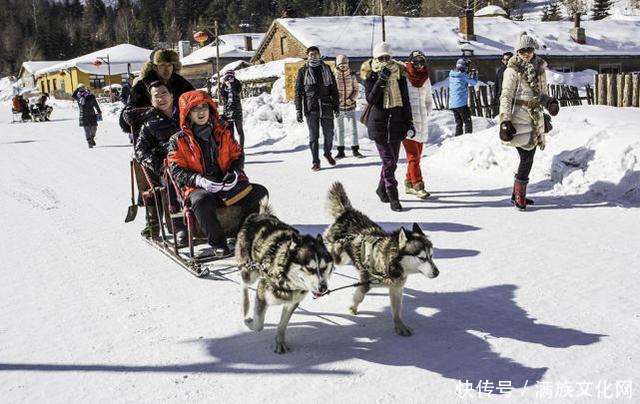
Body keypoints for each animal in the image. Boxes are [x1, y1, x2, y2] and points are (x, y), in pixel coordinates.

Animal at [236, 201, 336, 354]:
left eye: (324, 268)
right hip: (250, 272)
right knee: (244, 284)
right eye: (310, 269)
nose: (323, 287)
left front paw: (280, 341)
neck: (285, 278)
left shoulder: (292, 303)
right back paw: (245, 306)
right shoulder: (262, 293)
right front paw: (250, 324)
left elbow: (282, 325)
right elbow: (259, 325)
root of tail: (259, 215)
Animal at [324, 181, 440, 336]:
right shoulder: (365, 282)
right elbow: (359, 296)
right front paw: (352, 308)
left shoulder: (396, 288)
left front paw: (399, 325)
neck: (390, 264)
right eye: (422, 258)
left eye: (431, 256)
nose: (437, 272)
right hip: (339, 256)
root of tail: (347, 212)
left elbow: (397, 310)